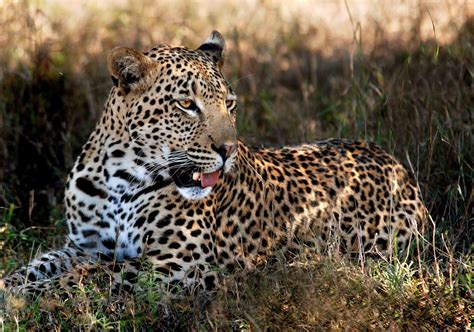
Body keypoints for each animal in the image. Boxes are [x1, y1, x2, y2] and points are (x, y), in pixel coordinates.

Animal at [0, 30, 428, 296]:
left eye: (230, 104)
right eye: (186, 104)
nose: (228, 149)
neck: (119, 176)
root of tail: (396, 164)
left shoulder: (178, 264)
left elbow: (88, 278)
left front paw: (28, 298)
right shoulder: (83, 246)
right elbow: (36, 266)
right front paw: (12, 288)